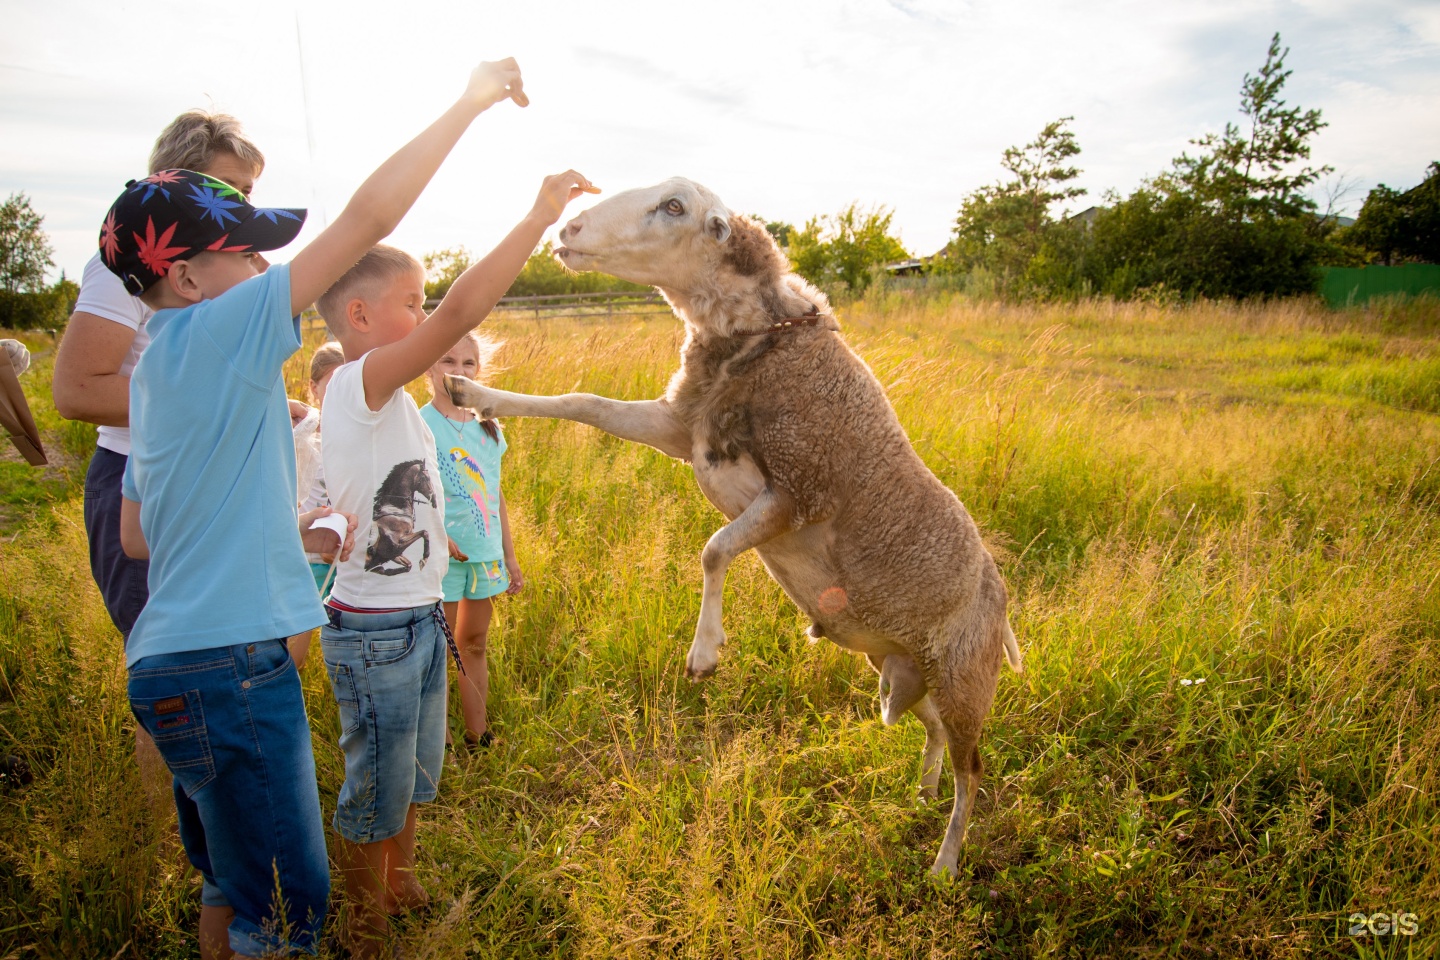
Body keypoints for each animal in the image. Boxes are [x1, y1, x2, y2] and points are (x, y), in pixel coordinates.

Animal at [449, 178, 1025, 880]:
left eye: (674, 207)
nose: (569, 229)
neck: (756, 346)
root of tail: (1000, 602)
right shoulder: (681, 429)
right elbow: (583, 404)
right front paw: (477, 394)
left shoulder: (798, 494)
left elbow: (714, 548)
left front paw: (704, 651)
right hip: (902, 667)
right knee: (936, 733)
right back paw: (924, 790)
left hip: (967, 679)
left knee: (976, 769)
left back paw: (945, 859)